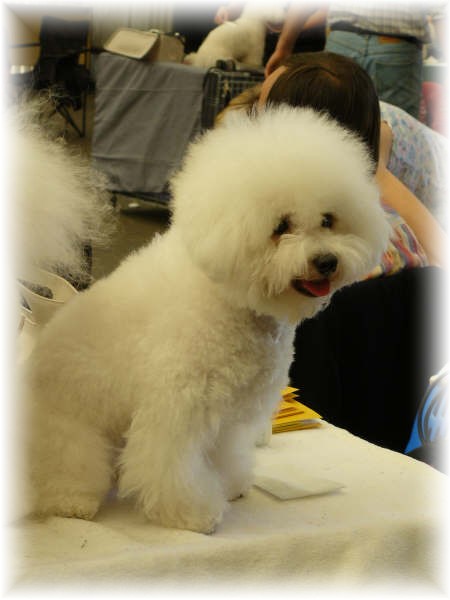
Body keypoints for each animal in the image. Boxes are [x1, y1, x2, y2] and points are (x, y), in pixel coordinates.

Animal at [23, 106, 390, 533]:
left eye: (328, 220)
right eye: (280, 226)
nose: (326, 261)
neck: (230, 300)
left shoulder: (227, 413)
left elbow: (223, 453)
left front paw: (229, 484)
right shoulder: (177, 407)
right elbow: (172, 466)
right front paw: (192, 513)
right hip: (71, 433)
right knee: (69, 470)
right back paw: (73, 501)